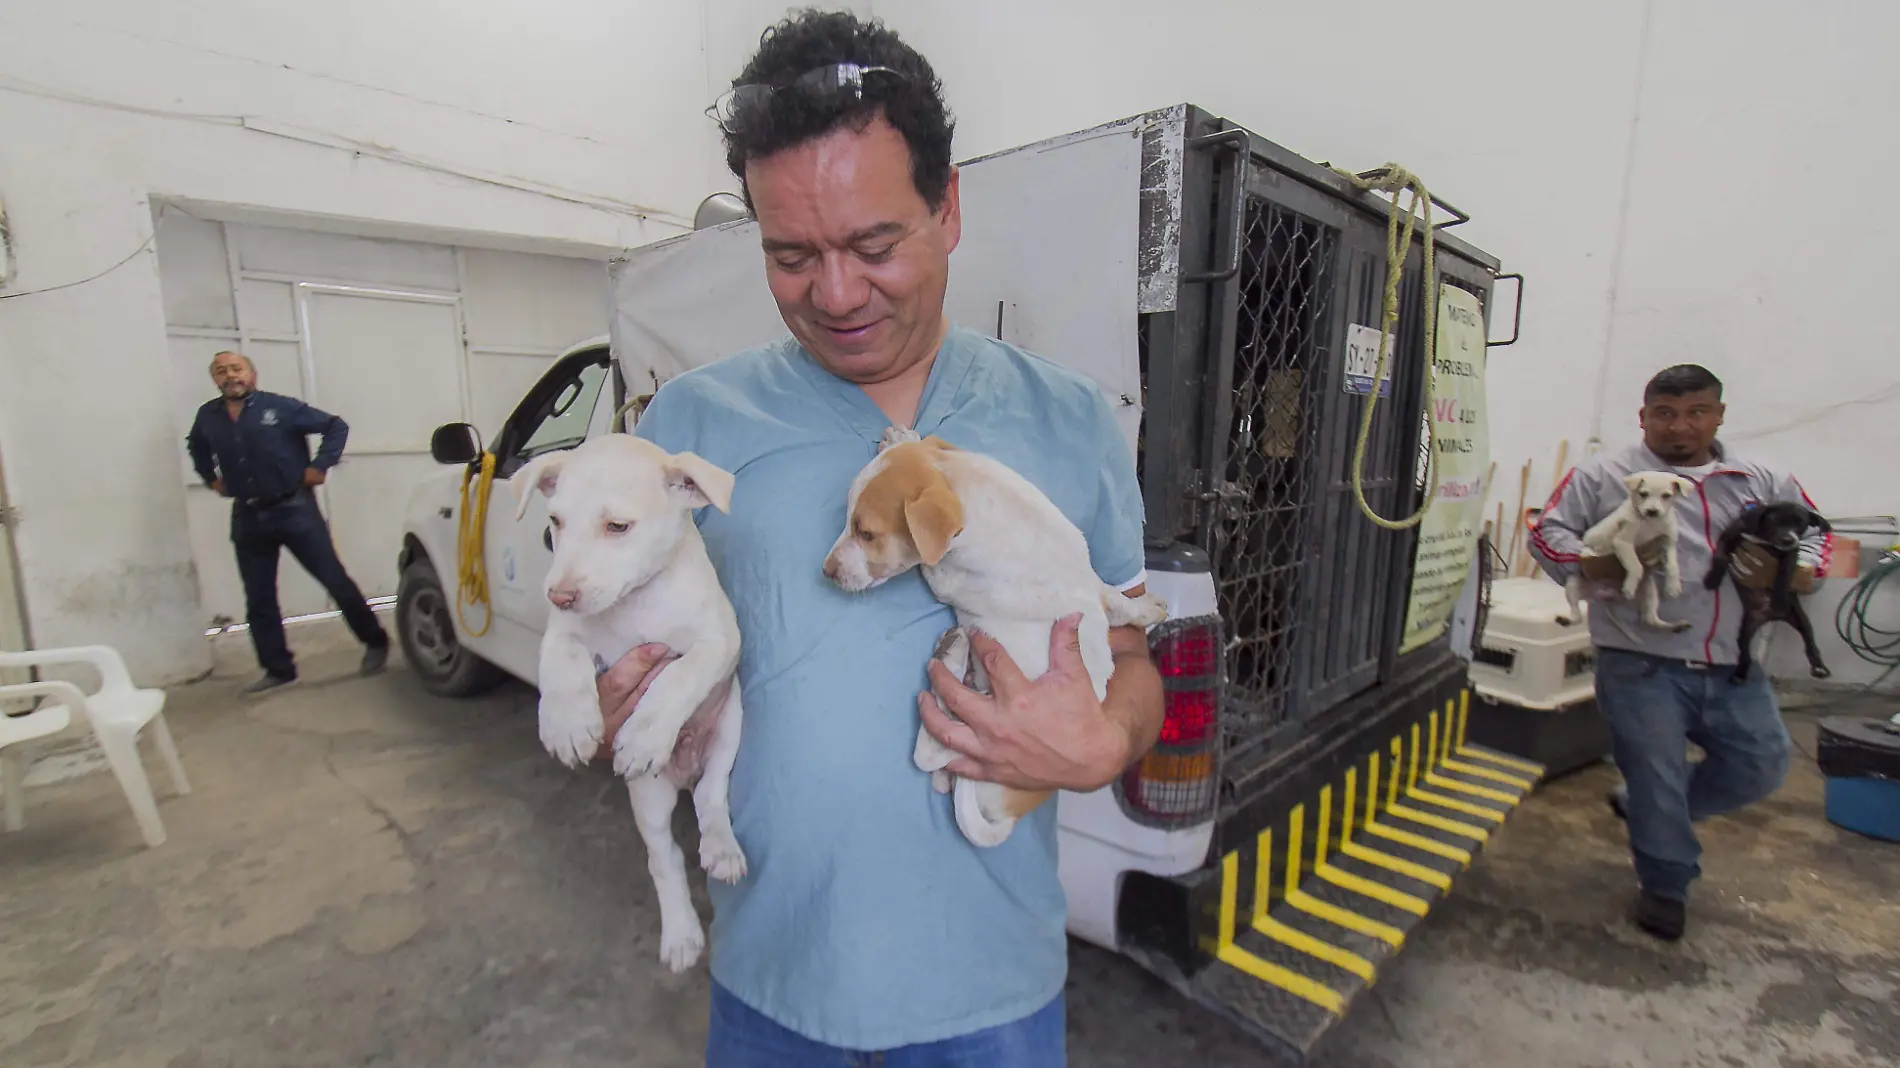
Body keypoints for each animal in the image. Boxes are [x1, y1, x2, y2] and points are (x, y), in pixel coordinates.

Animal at [513, 433, 748, 972]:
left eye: (617, 526)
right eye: (555, 521)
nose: (558, 594)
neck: (635, 603)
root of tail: (682, 773)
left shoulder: (719, 642)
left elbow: (678, 677)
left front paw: (643, 735)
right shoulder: (567, 633)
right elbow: (561, 661)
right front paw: (566, 725)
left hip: (731, 724)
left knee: (711, 797)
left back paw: (722, 849)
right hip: (648, 797)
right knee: (665, 859)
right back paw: (681, 933)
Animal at [820, 437, 1162, 843]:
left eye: (867, 533)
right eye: (848, 521)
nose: (825, 571)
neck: (967, 488)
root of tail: (1014, 810)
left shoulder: (949, 578)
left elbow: (932, 569)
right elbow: (1109, 595)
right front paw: (902, 437)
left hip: (983, 736)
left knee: (931, 756)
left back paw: (953, 656)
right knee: (940, 775)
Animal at [1558, 467, 1694, 630]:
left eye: (1666, 495)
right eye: (1643, 494)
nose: (1652, 511)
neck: (1650, 523)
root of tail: (1607, 595)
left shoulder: (1668, 543)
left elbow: (1673, 566)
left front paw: (1673, 586)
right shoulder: (1623, 542)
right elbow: (1636, 566)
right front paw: (1630, 585)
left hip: (1650, 591)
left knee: (1650, 619)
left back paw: (1676, 626)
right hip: (1573, 583)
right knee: (1576, 614)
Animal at [1702, 497, 1831, 680]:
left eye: (1801, 523)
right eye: (1775, 519)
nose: (1788, 539)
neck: (1765, 538)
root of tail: (1770, 617)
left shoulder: (1790, 554)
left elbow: (1784, 574)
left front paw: (1779, 598)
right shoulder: (1731, 534)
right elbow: (1720, 556)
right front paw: (1712, 579)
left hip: (1799, 618)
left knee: (1810, 642)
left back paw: (1818, 666)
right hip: (1746, 628)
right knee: (1744, 651)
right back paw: (1740, 674)